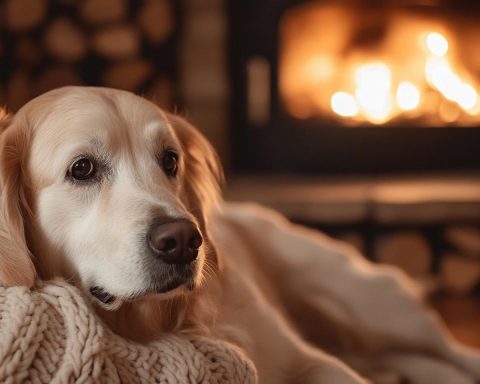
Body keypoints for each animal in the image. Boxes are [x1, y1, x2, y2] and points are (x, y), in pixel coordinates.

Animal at [0, 85, 480, 382]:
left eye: (170, 161)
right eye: (82, 169)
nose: (184, 241)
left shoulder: (309, 362)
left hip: (371, 302)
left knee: (446, 349)